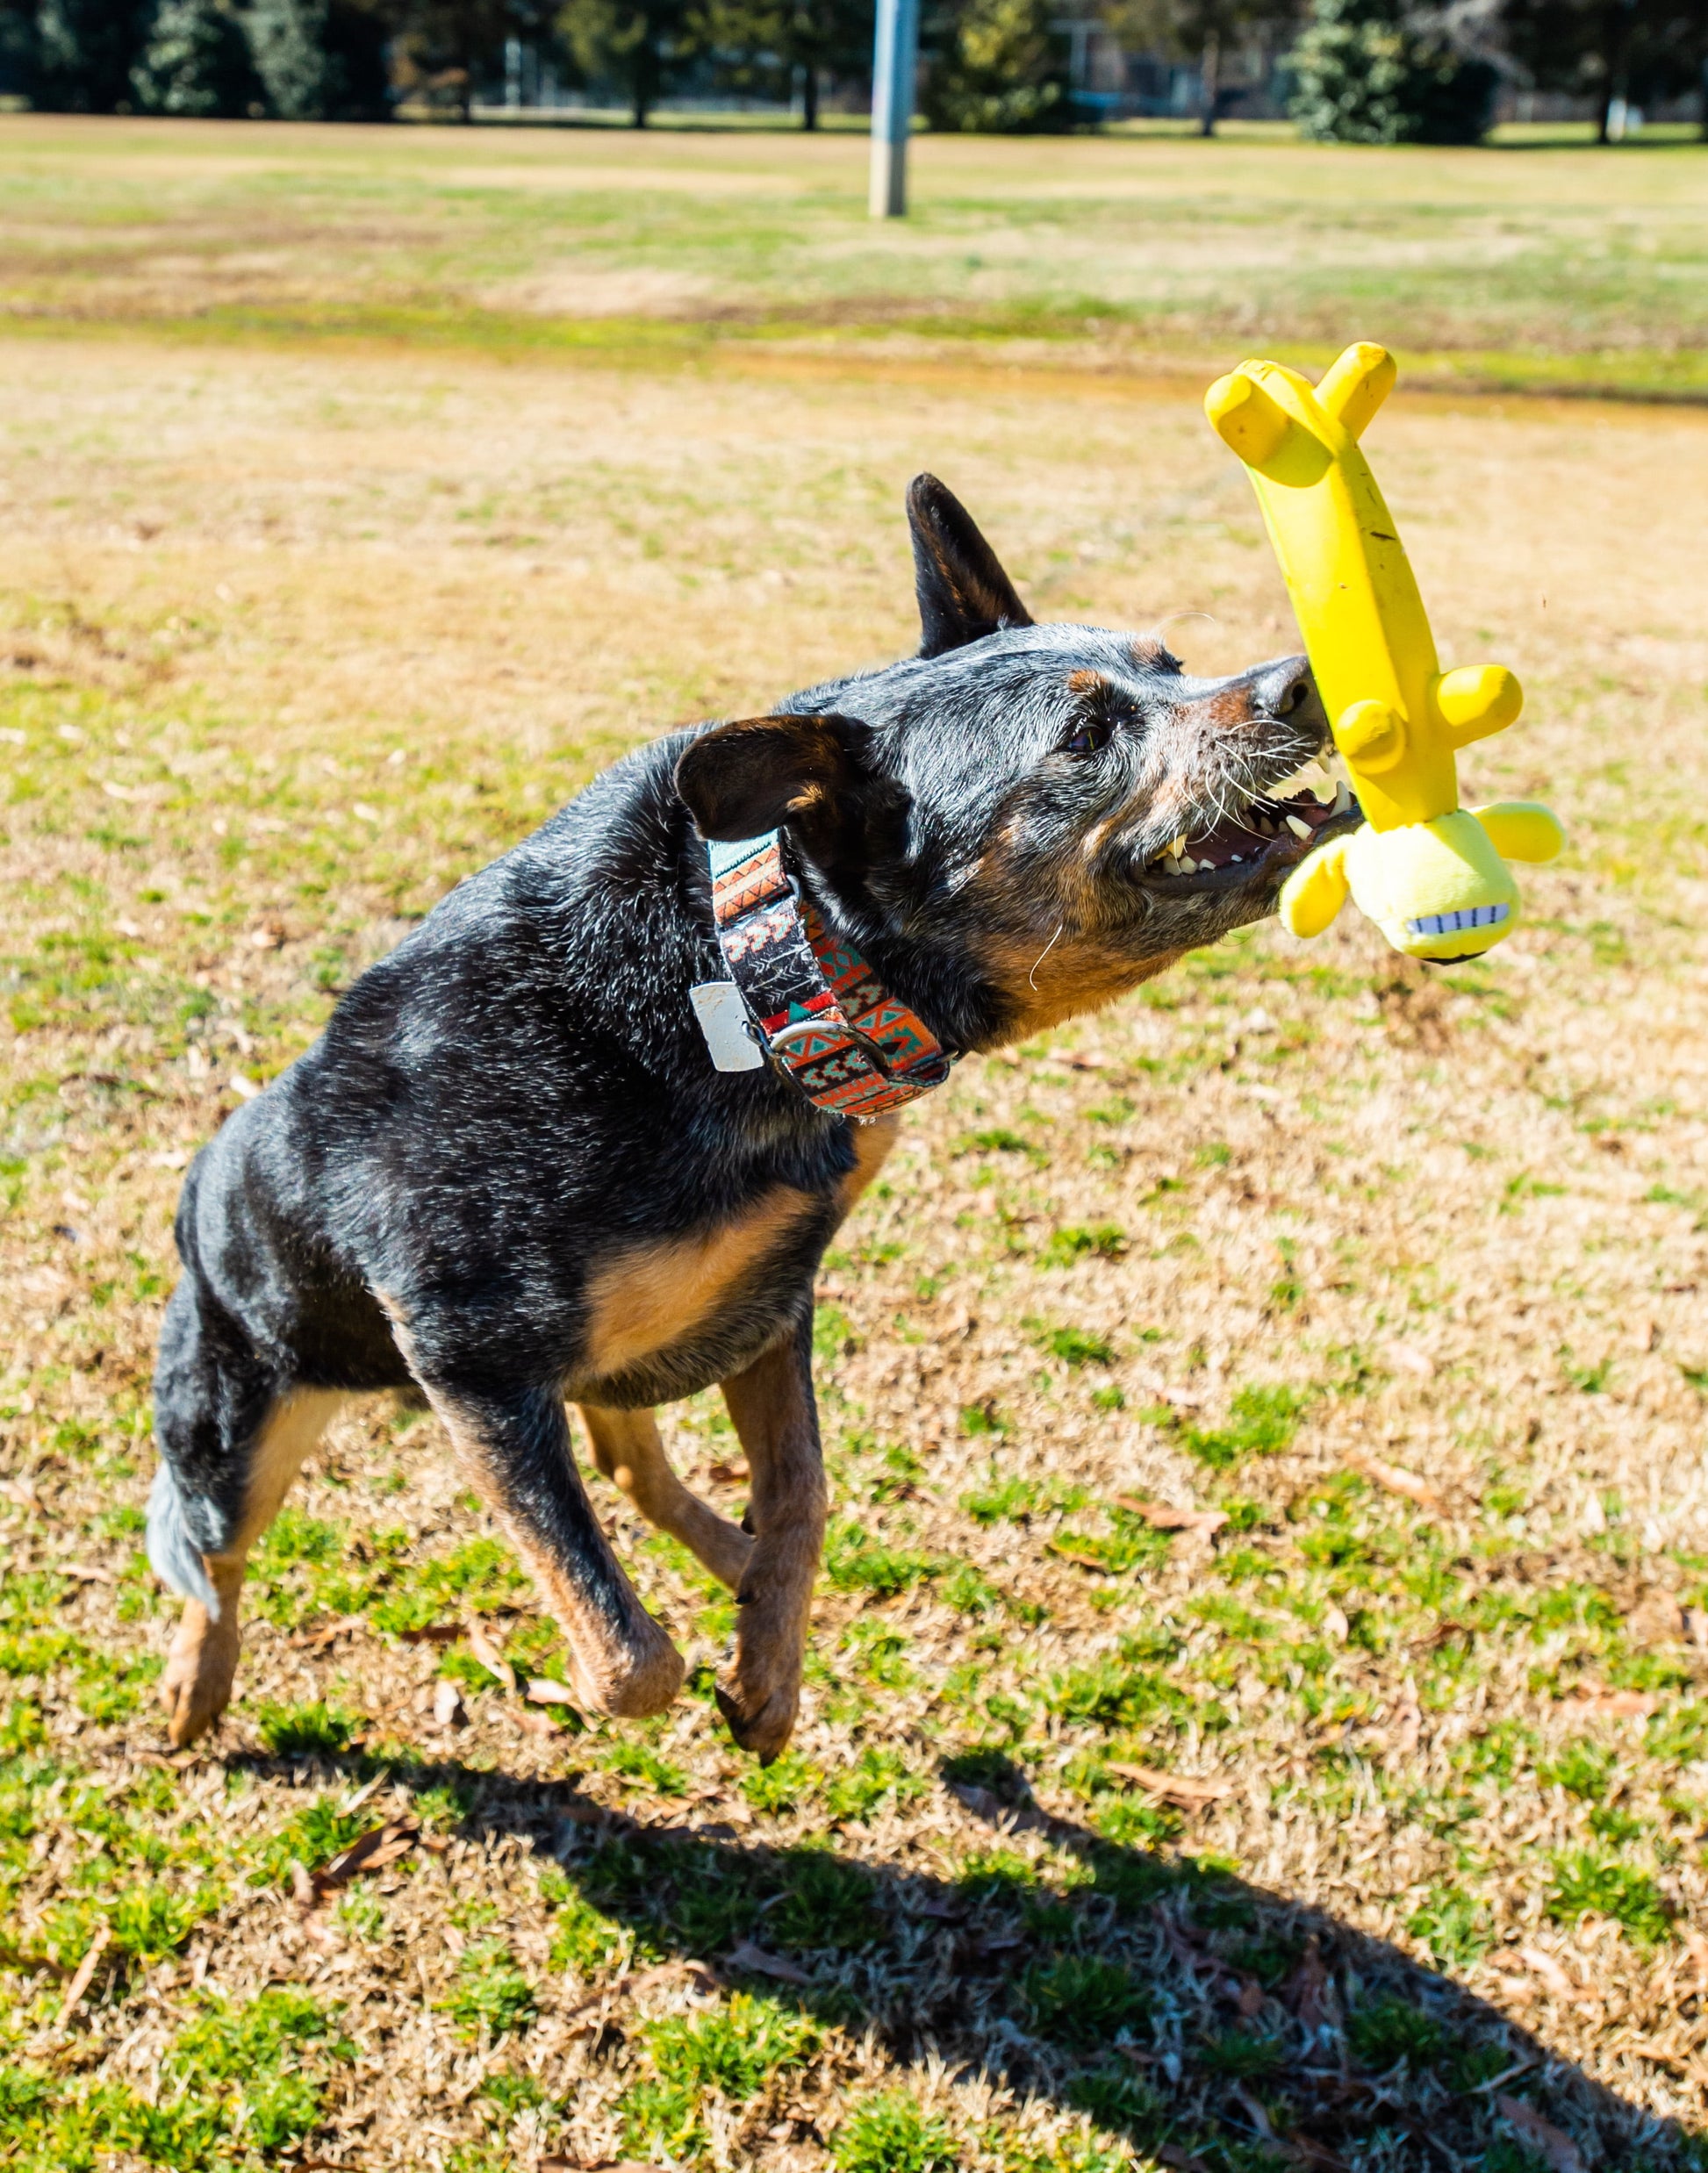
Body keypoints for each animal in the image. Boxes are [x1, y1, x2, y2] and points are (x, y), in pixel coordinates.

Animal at [143, 480, 1347, 1764]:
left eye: (1168, 661)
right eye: (1084, 735)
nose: (1298, 680)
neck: (752, 974)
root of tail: (195, 1195)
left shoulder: (771, 1292)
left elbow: (800, 1493)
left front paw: (767, 1663)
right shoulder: (470, 1357)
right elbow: (627, 1657)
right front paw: (666, 1661)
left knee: (626, 1463)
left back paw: (728, 1561)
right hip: (240, 1414)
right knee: (214, 1558)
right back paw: (195, 1688)